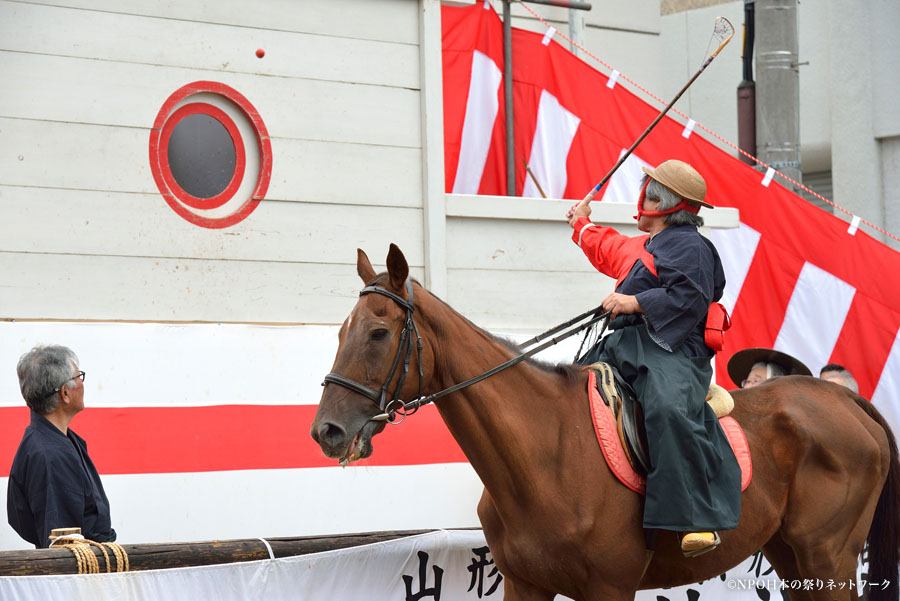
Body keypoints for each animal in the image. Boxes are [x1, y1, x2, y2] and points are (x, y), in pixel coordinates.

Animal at [312, 244, 900, 600]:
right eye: (341, 331)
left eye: (379, 334)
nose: (327, 431)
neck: (542, 456)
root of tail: (845, 400)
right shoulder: (524, 584)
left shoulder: (609, 588)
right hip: (789, 552)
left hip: (829, 556)